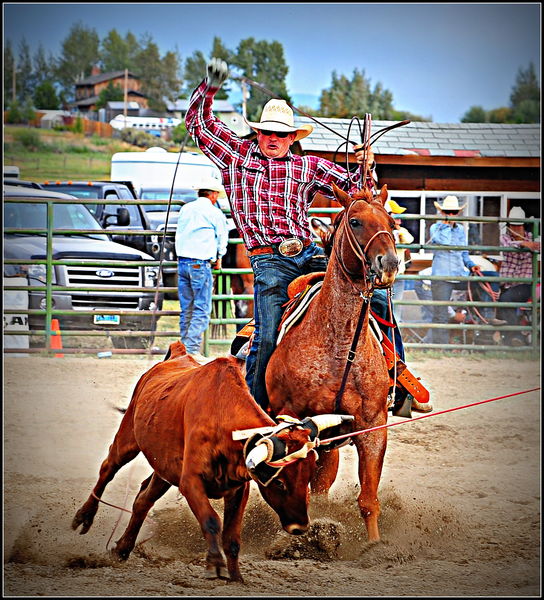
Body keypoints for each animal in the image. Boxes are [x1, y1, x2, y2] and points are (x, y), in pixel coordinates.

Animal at [266, 183, 398, 544]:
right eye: (355, 221)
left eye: (391, 222)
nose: (390, 263)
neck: (339, 349)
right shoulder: (294, 427)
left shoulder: (372, 427)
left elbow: (368, 500)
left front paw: (375, 547)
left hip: (330, 446)